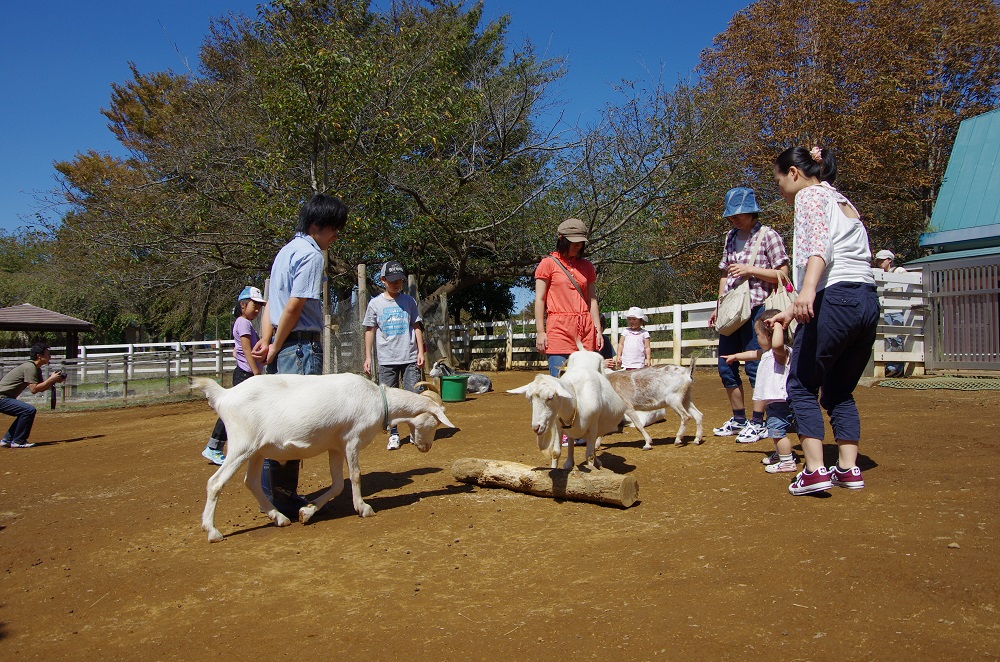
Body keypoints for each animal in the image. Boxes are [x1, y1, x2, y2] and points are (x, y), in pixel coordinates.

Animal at [192, 376, 458, 544]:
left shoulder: (336, 447)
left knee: (252, 482)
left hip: (256, 450)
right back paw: (212, 531)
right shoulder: (352, 440)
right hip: (241, 445)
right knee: (215, 483)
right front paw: (364, 508)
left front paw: (306, 512)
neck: (376, 399)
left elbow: (338, 484)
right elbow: (355, 476)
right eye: (435, 422)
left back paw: (280, 518)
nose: (426, 447)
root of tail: (224, 396)